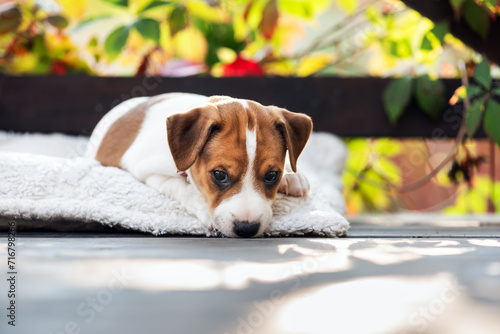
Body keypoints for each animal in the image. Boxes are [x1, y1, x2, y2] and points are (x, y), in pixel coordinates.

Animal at [86, 93, 312, 237]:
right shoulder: (150, 172)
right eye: (219, 175)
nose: (246, 229)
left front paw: (293, 176)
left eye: (272, 175)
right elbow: (182, 188)